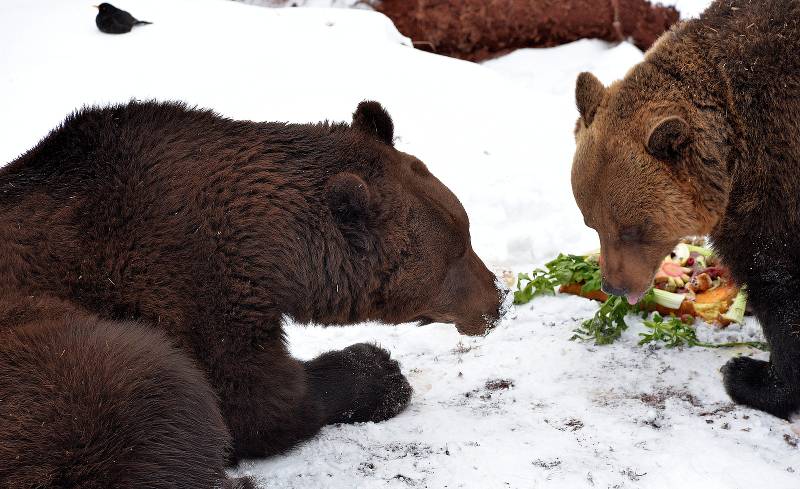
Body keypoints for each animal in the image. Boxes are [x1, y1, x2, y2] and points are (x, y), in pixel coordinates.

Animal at [0, 100, 504, 488]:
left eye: (466, 231)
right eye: (457, 251)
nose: (496, 302)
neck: (270, 254)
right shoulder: (191, 282)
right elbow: (259, 403)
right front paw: (380, 369)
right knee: (148, 383)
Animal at [572, 0, 800, 420]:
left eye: (635, 228)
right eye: (591, 222)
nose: (614, 285)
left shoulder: (774, 179)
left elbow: (779, 286)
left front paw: (749, 376)